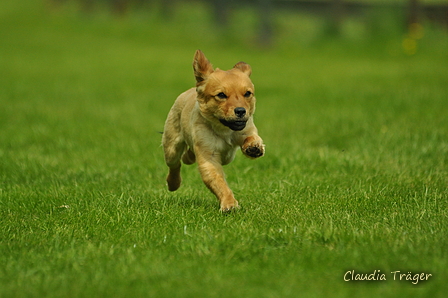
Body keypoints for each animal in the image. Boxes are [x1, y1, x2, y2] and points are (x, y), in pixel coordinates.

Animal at [162, 49, 264, 212]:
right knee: (175, 163)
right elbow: (217, 181)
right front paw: (229, 203)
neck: (225, 130)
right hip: (171, 146)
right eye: (221, 95)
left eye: (247, 93)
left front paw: (253, 147)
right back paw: (173, 183)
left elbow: (251, 137)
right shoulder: (208, 155)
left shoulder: (246, 129)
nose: (241, 111)